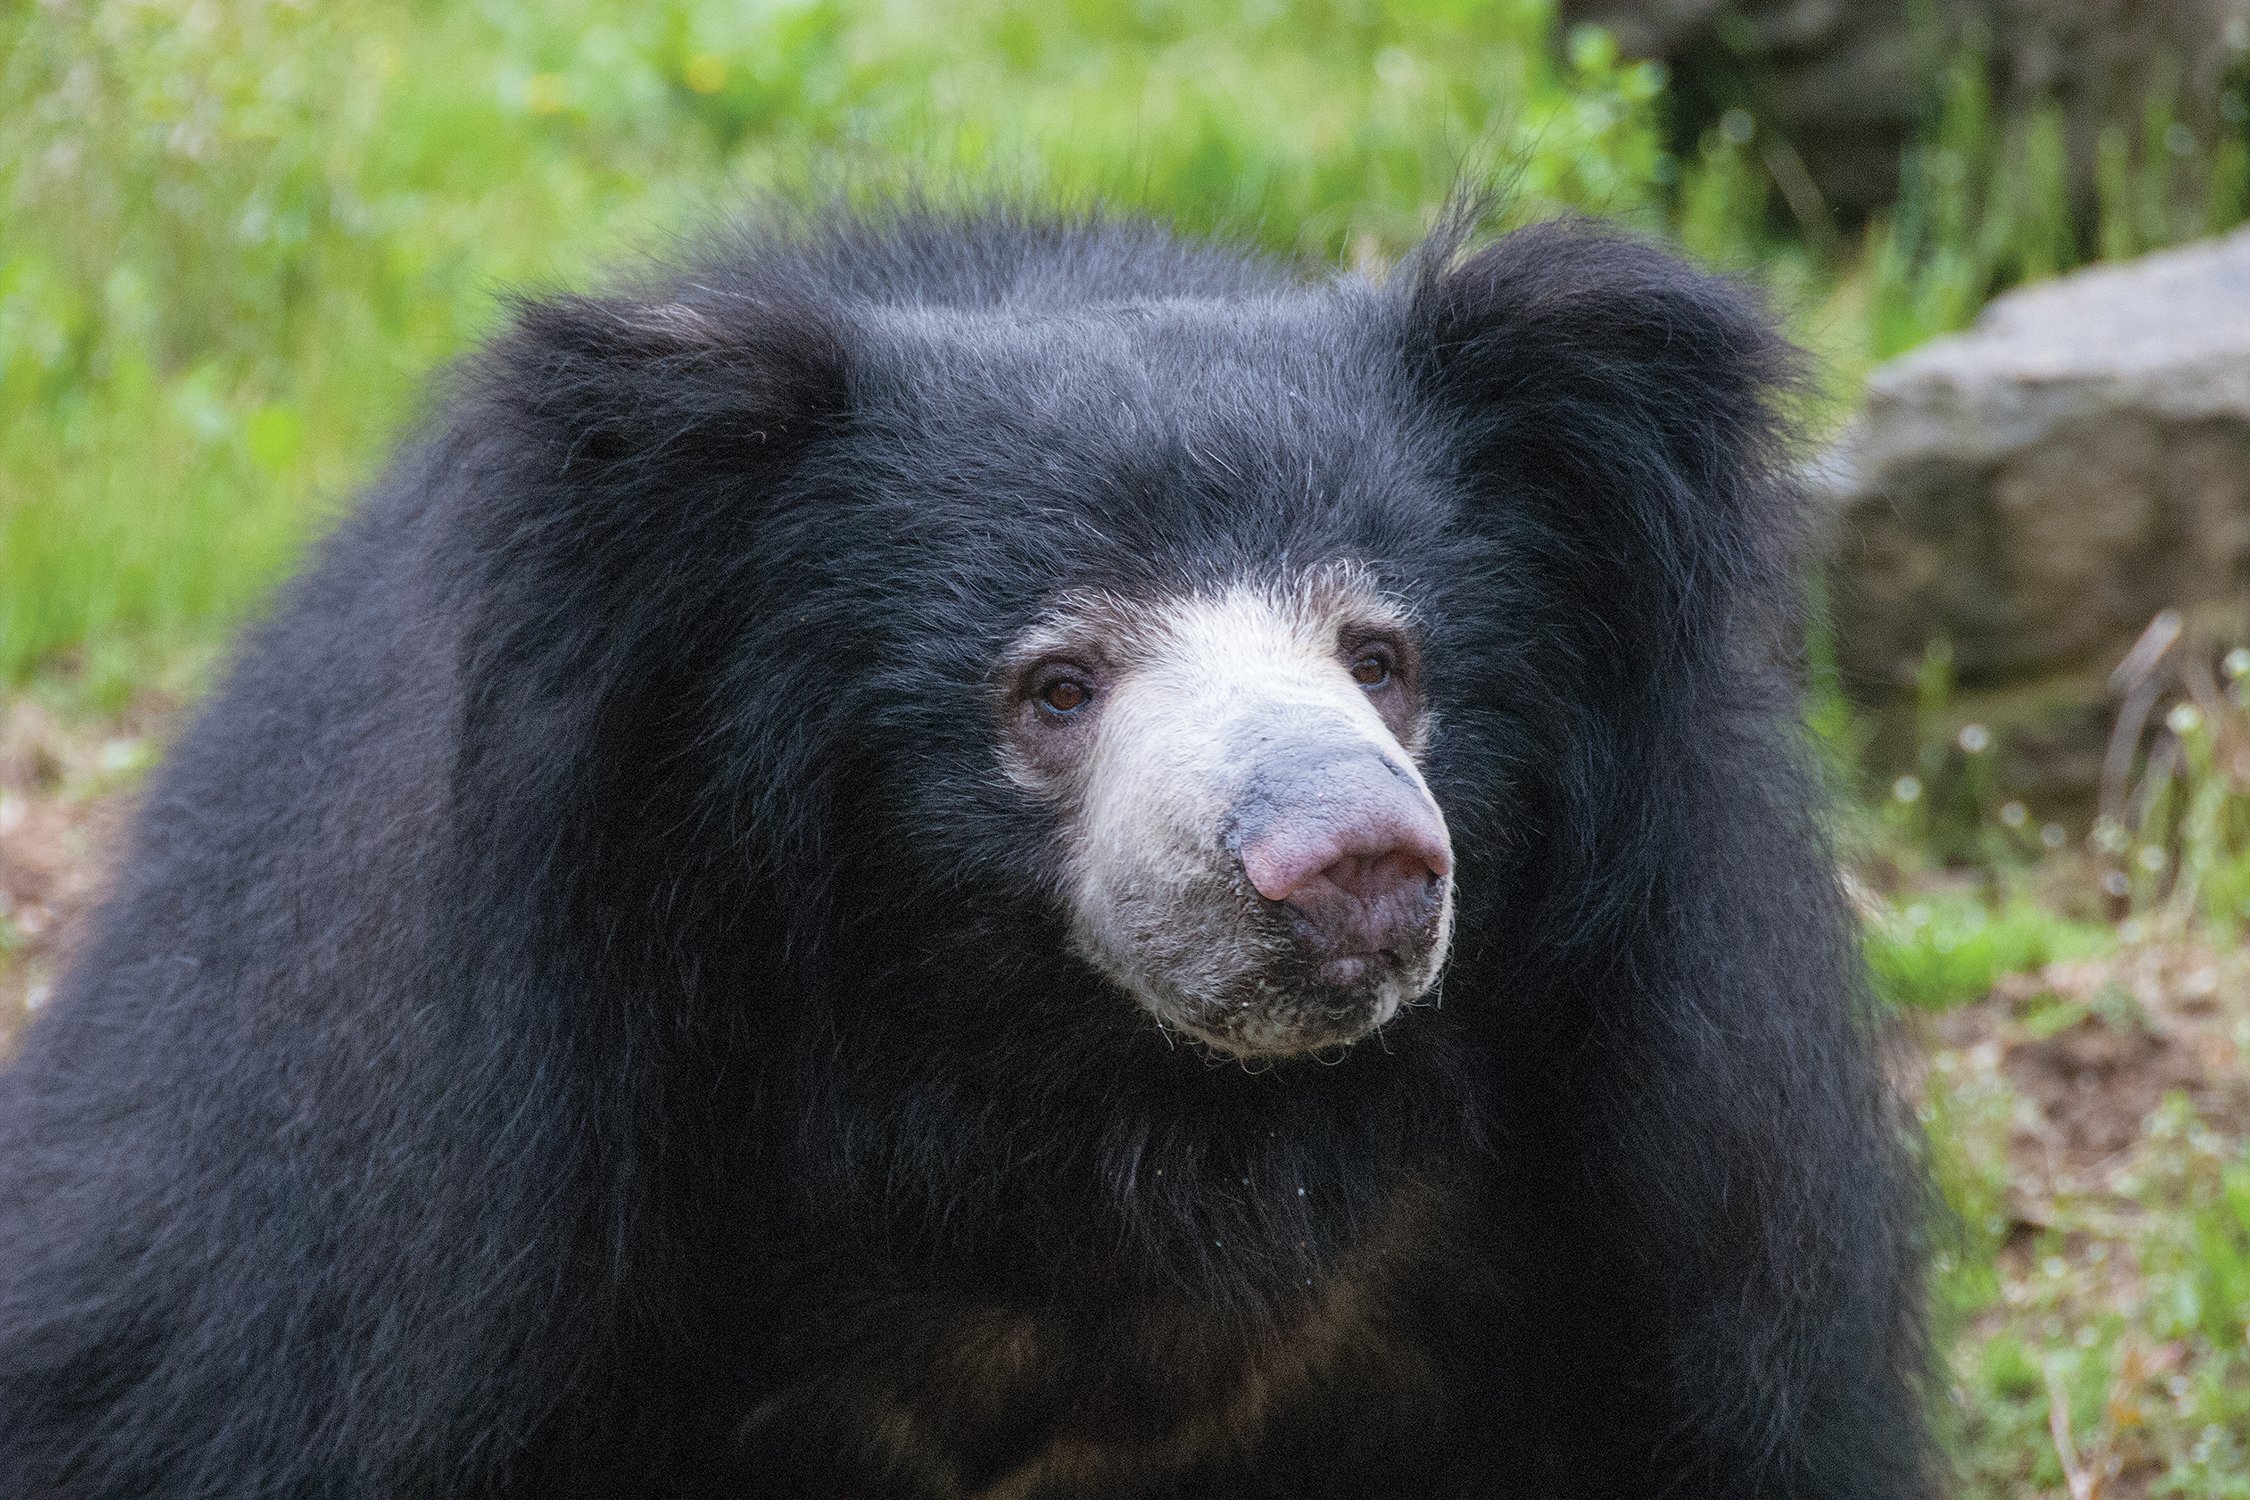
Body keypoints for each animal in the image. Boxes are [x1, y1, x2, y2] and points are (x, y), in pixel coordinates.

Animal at [0, 204, 1931, 1499]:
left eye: (1386, 659)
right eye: (1055, 686)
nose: (1353, 862)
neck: (1109, 1121)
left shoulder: (1669, 1177)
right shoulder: (450, 1194)